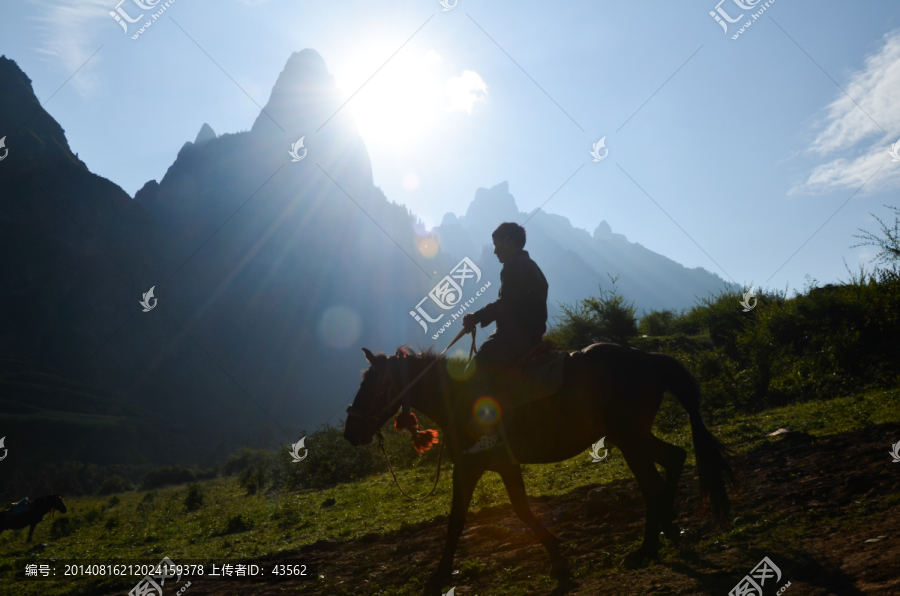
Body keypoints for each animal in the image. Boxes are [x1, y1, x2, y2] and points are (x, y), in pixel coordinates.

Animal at [342, 342, 736, 592]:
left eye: (369, 385)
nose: (350, 432)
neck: (456, 398)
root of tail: (648, 357)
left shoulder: (475, 466)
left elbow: (472, 519)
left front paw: (438, 577)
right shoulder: (497, 466)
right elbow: (507, 512)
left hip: (629, 438)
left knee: (651, 484)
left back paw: (646, 548)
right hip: (633, 436)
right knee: (674, 458)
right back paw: (669, 529)